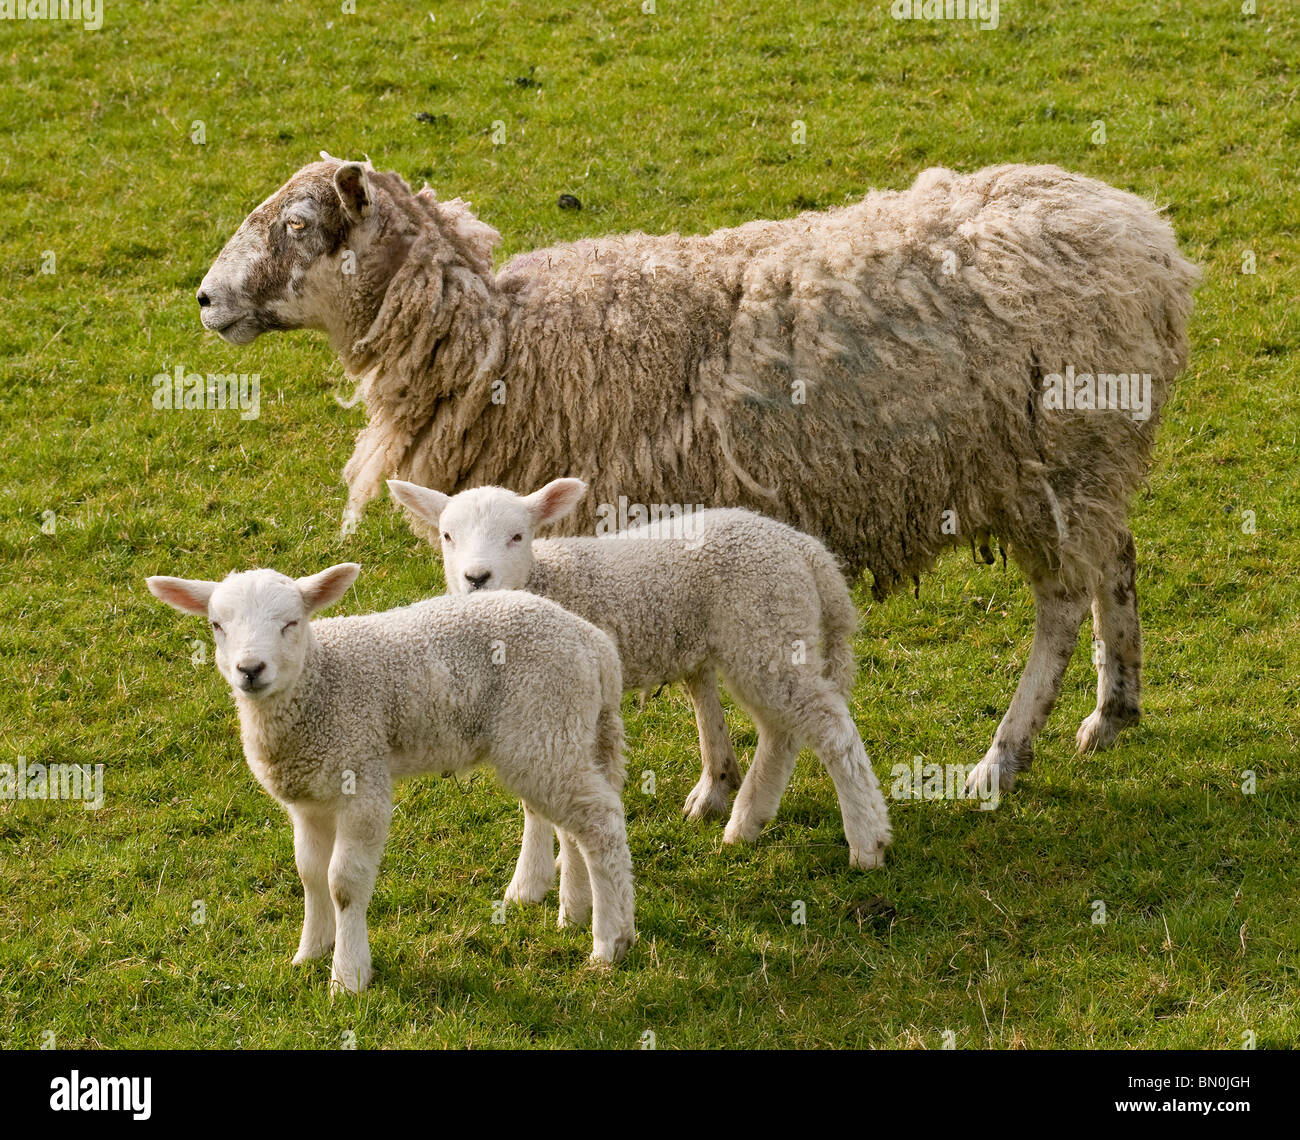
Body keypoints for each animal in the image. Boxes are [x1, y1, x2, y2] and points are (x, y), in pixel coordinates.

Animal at [147, 564, 634, 993]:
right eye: (216, 625)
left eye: (291, 623)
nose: (251, 670)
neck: (319, 684)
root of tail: (594, 645)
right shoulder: (309, 800)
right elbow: (309, 873)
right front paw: (311, 952)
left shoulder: (362, 780)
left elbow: (343, 883)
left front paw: (348, 976)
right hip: (564, 731)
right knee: (574, 823)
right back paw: (574, 911)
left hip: (544, 722)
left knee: (600, 822)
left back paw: (610, 943)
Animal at [192, 155, 1196, 795]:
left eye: (296, 227)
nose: (205, 299)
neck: (502, 344)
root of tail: (1145, 237)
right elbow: (696, 672)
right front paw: (720, 778)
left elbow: (684, 679)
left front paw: (713, 783)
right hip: (1087, 463)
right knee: (1116, 563)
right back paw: (1115, 708)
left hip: (1048, 465)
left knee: (1061, 603)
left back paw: (1004, 754)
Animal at [384, 475, 894, 878]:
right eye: (447, 535)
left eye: (517, 535)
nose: (477, 578)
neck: (546, 579)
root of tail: (804, 549)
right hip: (769, 638)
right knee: (781, 730)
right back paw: (746, 822)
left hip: (764, 627)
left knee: (827, 725)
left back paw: (866, 842)